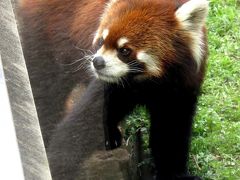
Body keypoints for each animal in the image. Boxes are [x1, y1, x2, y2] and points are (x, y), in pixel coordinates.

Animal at [19, 0, 208, 179]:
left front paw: (175, 174)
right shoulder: (107, 85)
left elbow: (171, 132)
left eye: (124, 50)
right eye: (102, 41)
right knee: (45, 89)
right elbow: (82, 123)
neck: (147, 82)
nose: (97, 62)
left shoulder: (180, 89)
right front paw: (54, 164)